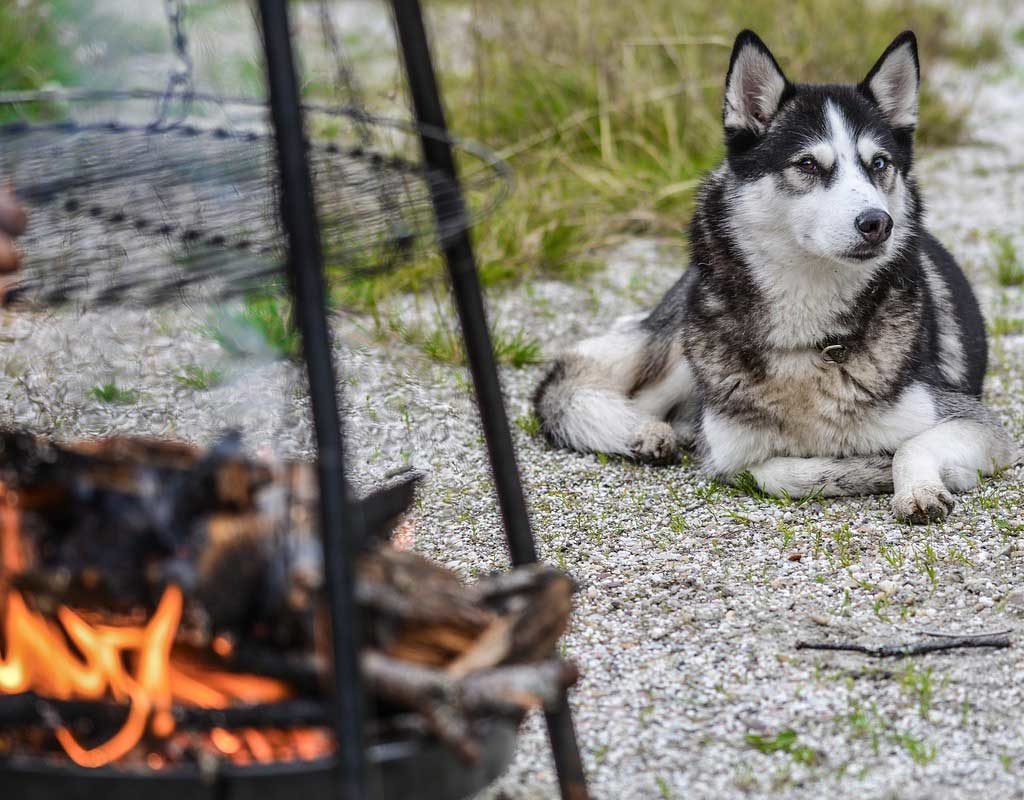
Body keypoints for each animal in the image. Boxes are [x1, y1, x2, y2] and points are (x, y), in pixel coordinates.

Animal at [532, 29, 1019, 524]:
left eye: (879, 164)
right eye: (807, 164)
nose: (877, 223)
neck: (807, 332)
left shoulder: (975, 422)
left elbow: (910, 446)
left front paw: (916, 488)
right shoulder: (729, 455)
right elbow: (772, 471)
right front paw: (865, 468)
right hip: (681, 352)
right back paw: (646, 431)